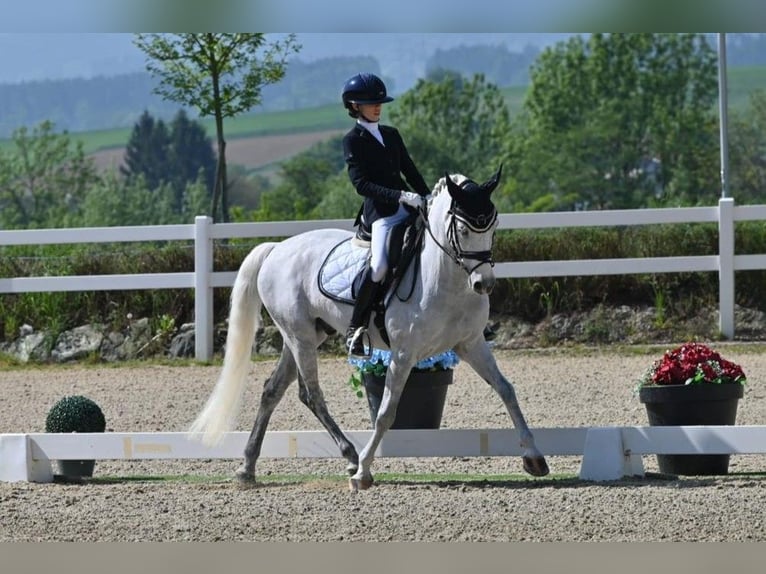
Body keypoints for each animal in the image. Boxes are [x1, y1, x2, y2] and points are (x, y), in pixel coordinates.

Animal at [189, 166, 549, 491]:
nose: (483, 284)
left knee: (273, 390)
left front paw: (535, 458)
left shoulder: (471, 343)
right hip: (299, 335)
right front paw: (363, 473)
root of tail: (277, 249)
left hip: (307, 335)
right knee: (312, 394)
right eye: (461, 229)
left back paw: (247, 467)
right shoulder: (404, 354)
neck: (445, 280)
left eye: (493, 226)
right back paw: (349, 457)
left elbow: (506, 389)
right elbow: (387, 412)